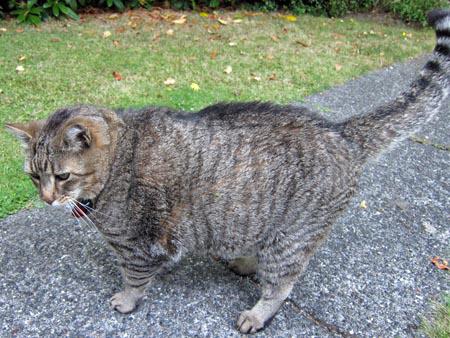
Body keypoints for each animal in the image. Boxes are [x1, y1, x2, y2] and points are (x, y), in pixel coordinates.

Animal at [6, 9, 450, 334]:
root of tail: (340, 129)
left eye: (62, 176)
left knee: (282, 283)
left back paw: (258, 311)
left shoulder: (137, 245)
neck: (119, 164)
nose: (46, 199)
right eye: (34, 177)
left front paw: (128, 299)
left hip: (292, 236)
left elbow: (134, 278)